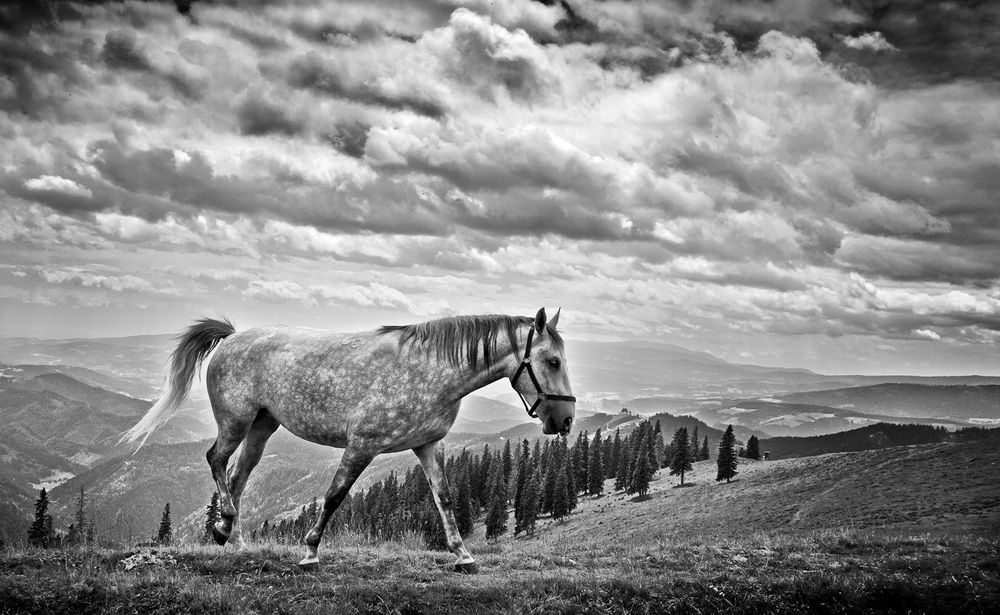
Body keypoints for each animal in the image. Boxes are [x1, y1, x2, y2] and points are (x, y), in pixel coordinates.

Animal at [123, 310, 580, 576]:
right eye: (553, 361)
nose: (565, 419)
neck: (431, 371)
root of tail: (233, 337)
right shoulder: (362, 445)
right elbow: (334, 495)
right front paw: (310, 551)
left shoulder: (428, 445)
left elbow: (445, 498)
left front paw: (462, 554)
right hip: (235, 422)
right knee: (216, 460)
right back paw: (227, 523)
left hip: (262, 427)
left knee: (239, 474)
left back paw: (231, 537)